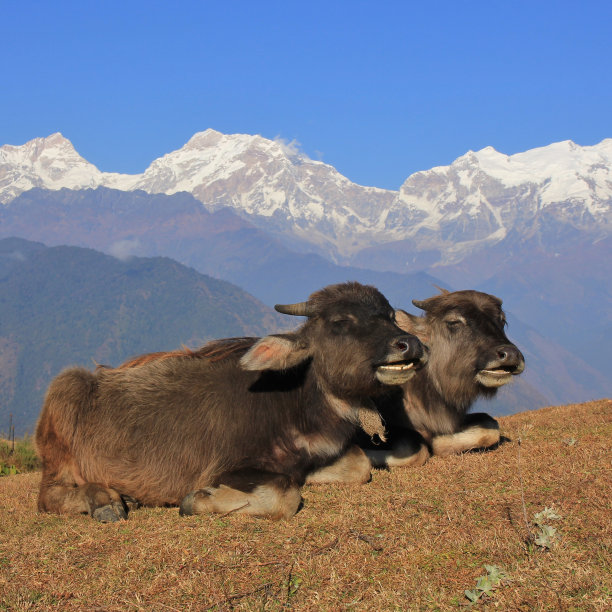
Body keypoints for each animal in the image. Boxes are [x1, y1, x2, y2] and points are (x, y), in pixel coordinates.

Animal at [34, 282, 426, 520]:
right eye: (340, 321)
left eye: (389, 315)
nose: (410, 345)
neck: (293, 403)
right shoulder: (227, 468)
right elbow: (284, 495)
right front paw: (200, 500)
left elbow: (359, 465)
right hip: (60, 423)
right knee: (48, 496)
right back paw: (107, 502)